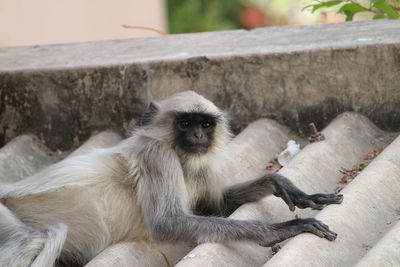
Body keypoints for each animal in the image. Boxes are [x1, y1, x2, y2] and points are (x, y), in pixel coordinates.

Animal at [0, 91, 344, 266]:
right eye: (186, 123)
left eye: (205, 124)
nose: (197, 135)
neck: (180, 155)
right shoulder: (157, 154)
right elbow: (167, 222)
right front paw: (280, 230)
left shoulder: (199, 164)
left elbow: (214, 205)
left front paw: (285, 186)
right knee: (37, 237)